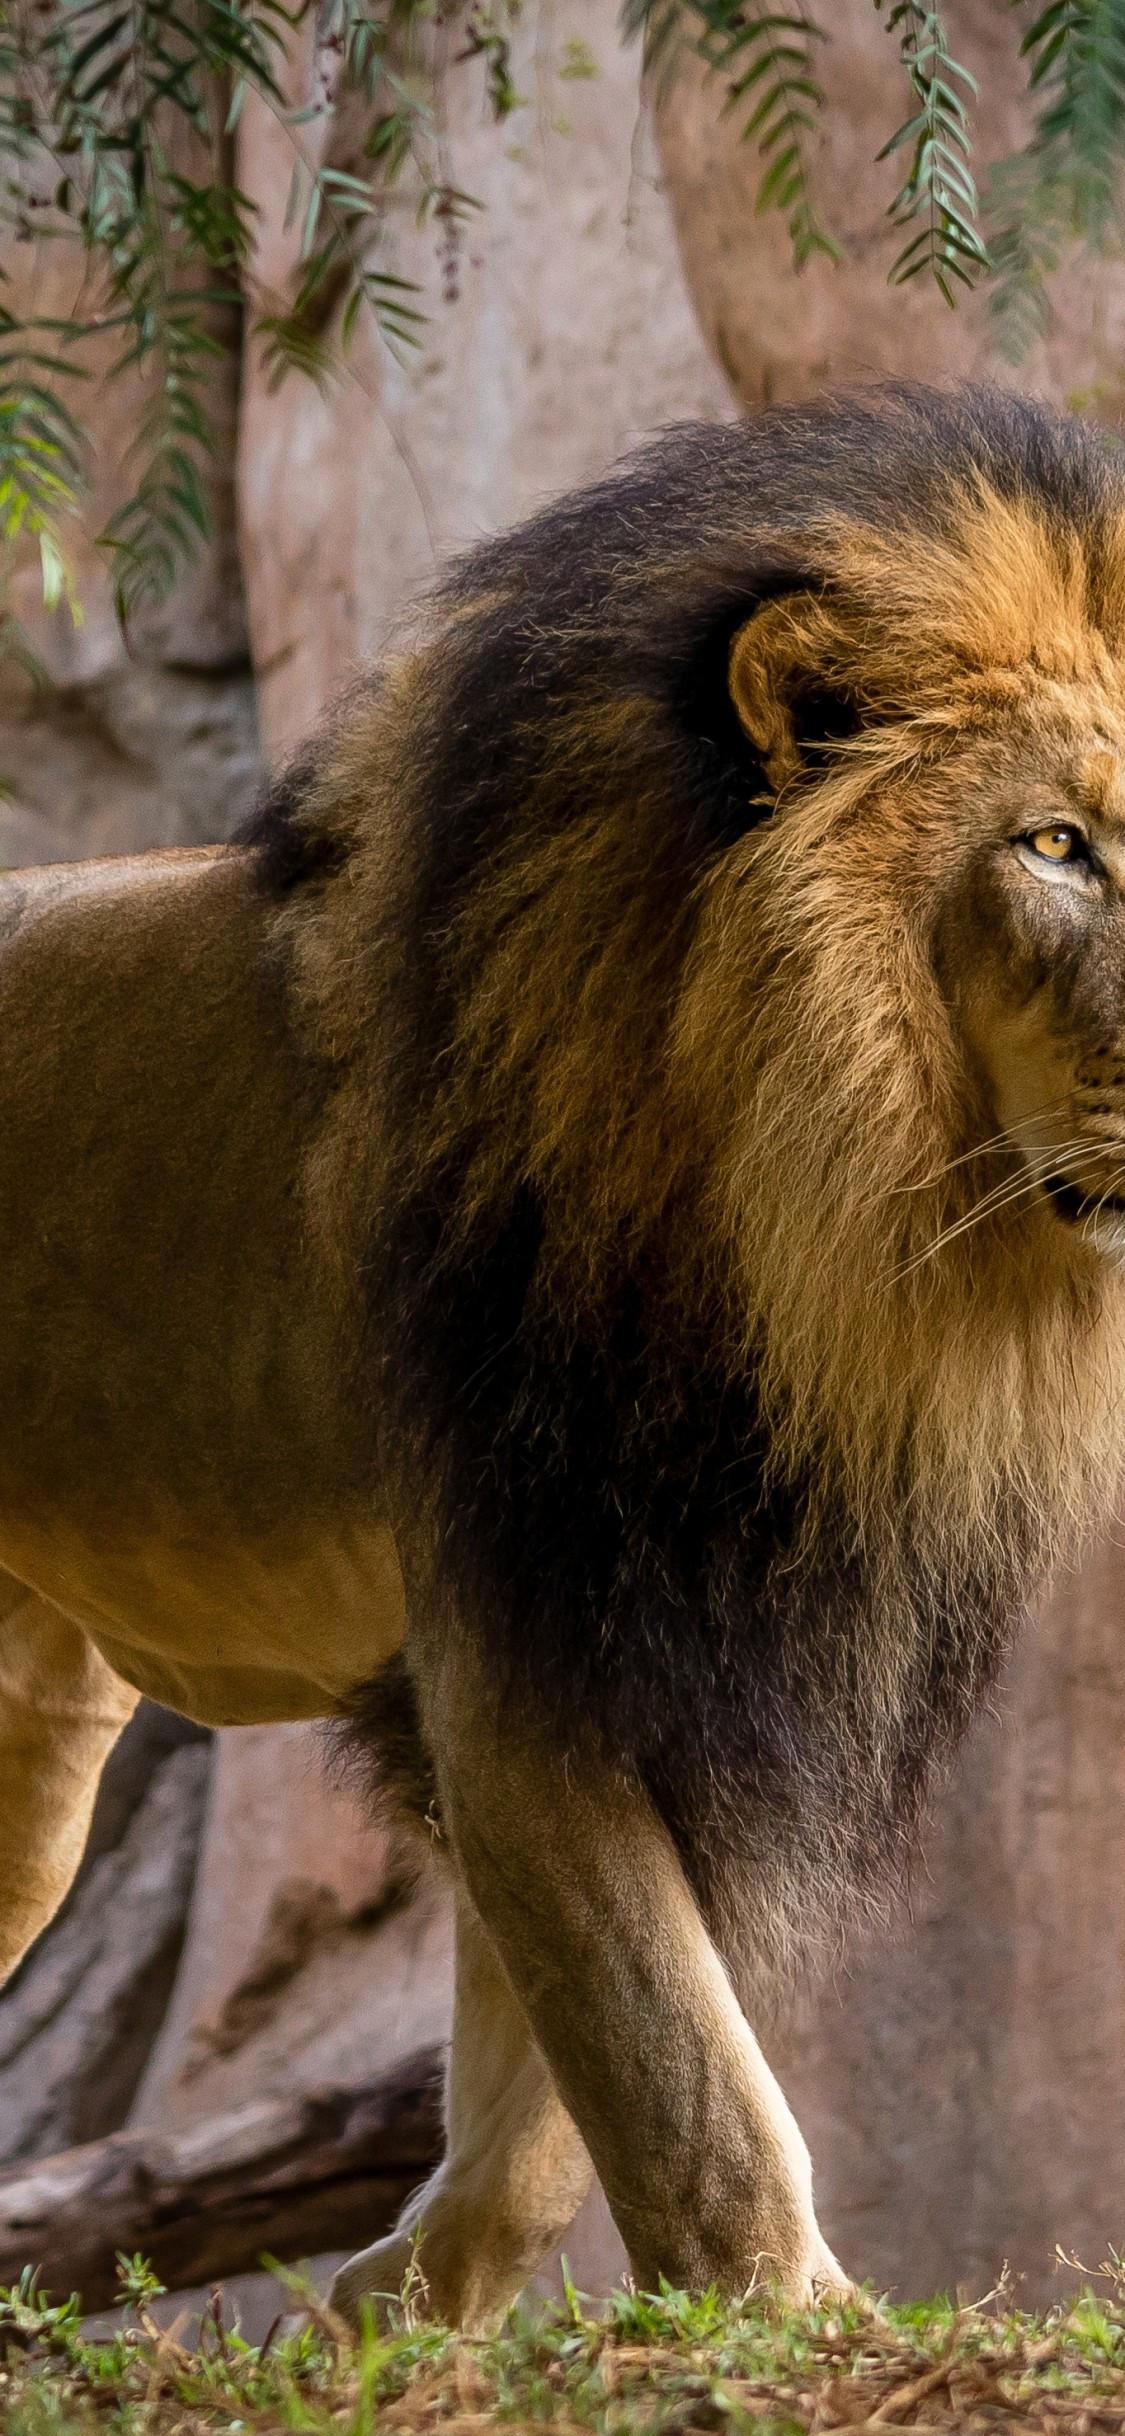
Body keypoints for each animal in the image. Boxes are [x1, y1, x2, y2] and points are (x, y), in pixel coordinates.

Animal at [4, 381, 1125, 2328]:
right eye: (1056, 845)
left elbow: (555, 2083)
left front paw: (393, 2312)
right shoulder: (524, 1617)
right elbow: (679, 2064)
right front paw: (792, 2318)